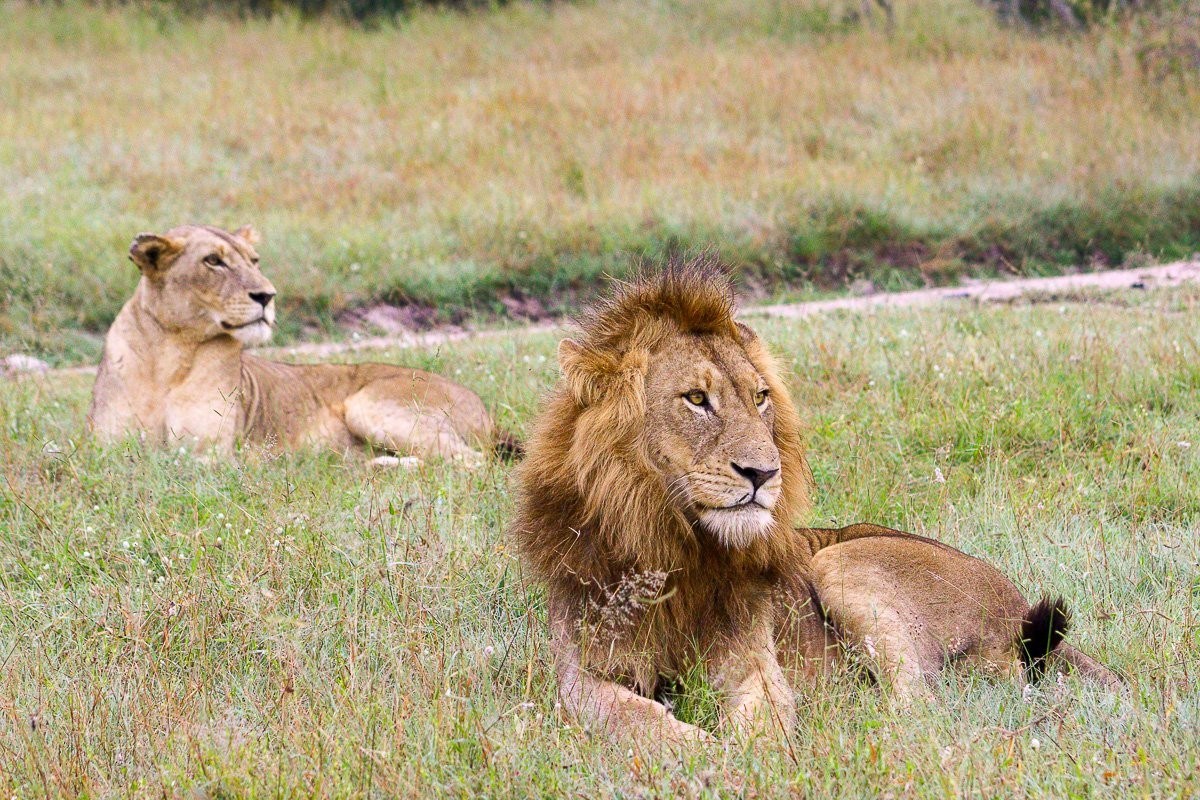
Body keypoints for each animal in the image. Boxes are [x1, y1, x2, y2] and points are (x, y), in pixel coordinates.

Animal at [88, 224, 515, 462]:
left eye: (254, 260)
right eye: (213, 261)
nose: (267, 296)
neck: (170, 353)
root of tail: (485, 410)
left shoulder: (212, 453)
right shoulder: (106, 454)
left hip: (370, 405)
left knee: (472, 464)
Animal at [511, 260, 1119, 746]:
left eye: (760, 397)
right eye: (696, 399)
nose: (763, 473)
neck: (671, 543)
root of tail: (1014, 599)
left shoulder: (753, 663)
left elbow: (764, 717)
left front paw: (745, 759)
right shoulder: (580, 676)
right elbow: (635, 717)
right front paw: (698, 751)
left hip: (840, 561)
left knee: (921, 707)